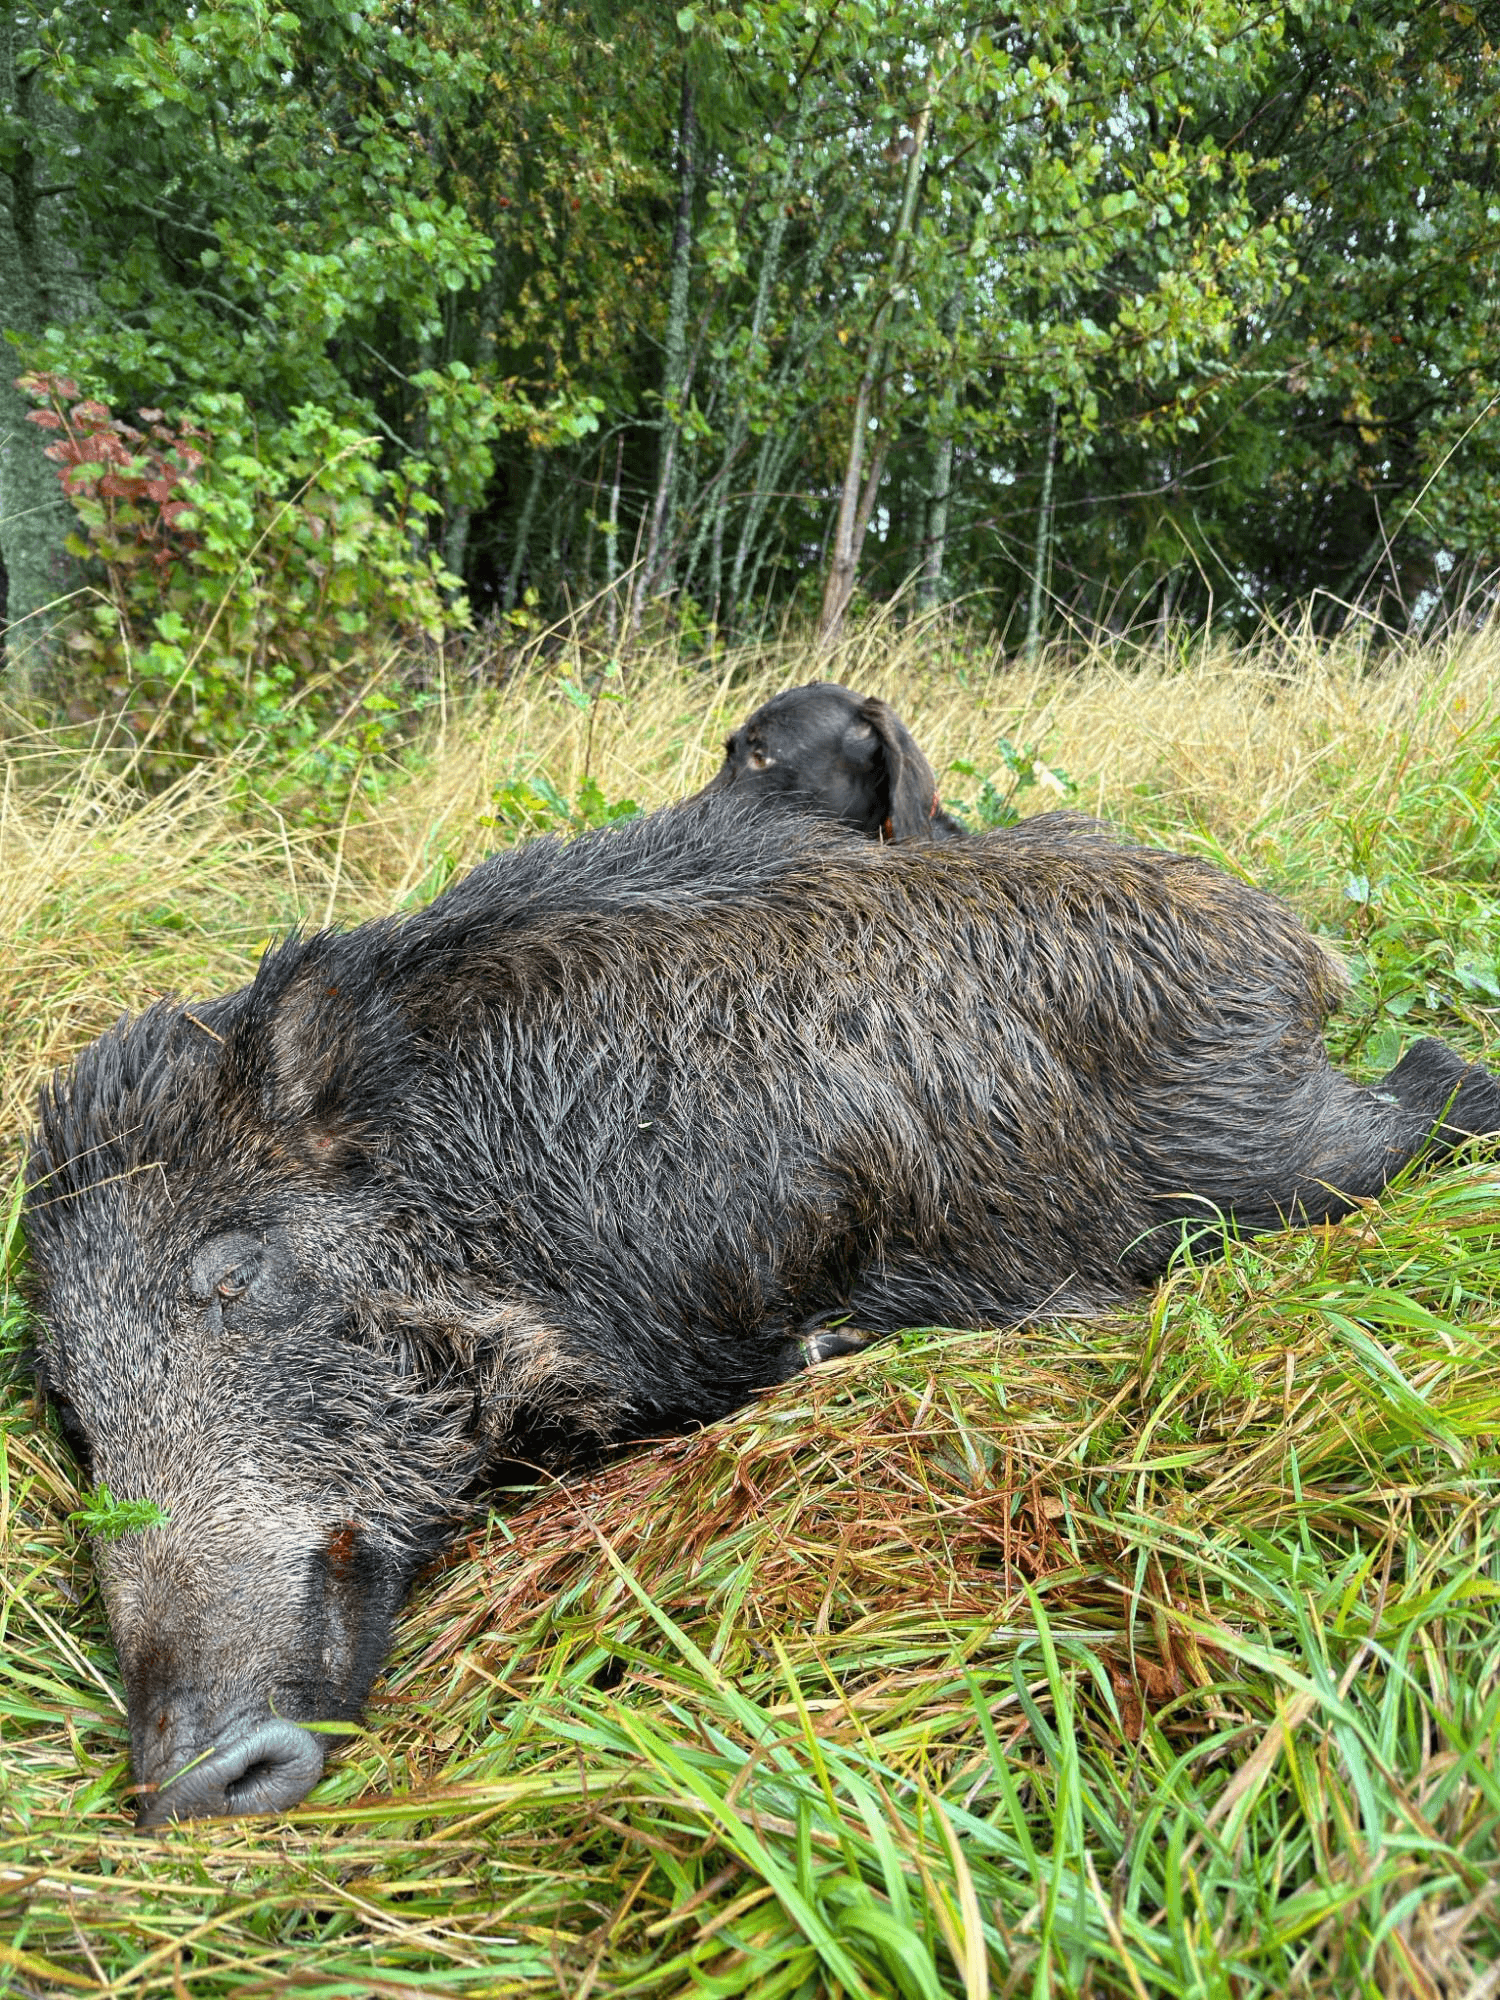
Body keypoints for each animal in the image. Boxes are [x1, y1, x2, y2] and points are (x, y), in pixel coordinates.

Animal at [23, 796, 1500, 1826]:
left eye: (234, 1268)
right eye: (71, 1412)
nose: (187, 1781)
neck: (484, 1186)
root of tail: (1281, 935)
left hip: (1256, 1153)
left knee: (1434, 1085)